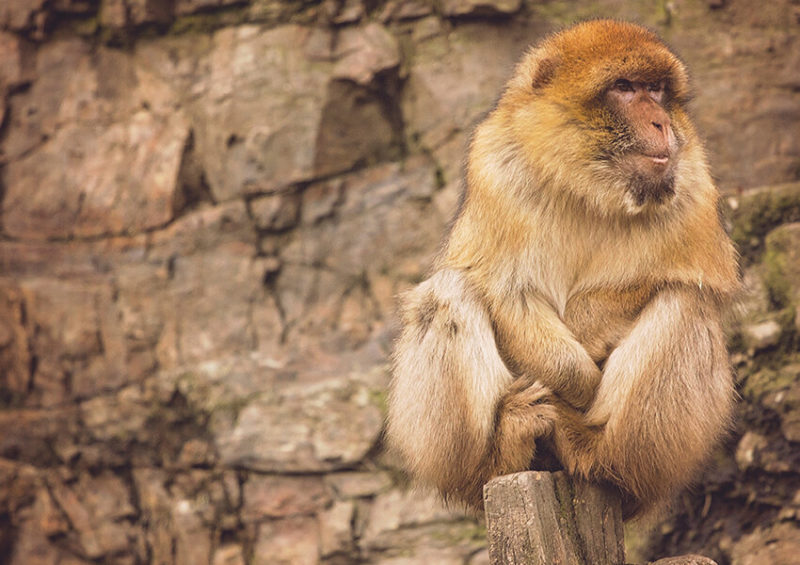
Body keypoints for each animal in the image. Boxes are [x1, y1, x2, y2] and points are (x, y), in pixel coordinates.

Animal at [386, 19, 740, 516]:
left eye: (656, 89)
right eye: (624, 88)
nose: (662, 122)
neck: (587, 185)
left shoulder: (691, 178)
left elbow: (686, 279)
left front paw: (587, 332)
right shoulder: (495, 165)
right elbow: (506, 290)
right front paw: (577, 376)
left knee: (686, 302)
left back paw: (600, 456)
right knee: (447, 292)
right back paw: (499, 453)